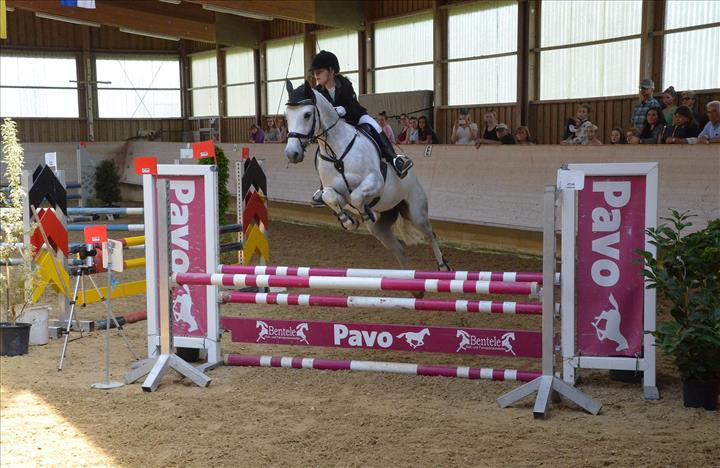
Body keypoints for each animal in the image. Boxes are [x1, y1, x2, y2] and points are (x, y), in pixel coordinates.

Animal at [283, 80, 451, 272]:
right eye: (286, 116)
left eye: (307, 114)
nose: (292, 154)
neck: (337, 152)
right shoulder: (334, 192)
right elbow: (330, 197)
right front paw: (349, 221)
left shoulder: (375, 182)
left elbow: (356, 196)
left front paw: (364, 213)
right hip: (380, 228)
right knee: (400, 250)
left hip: (416, 212)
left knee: (430, 235)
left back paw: (443, 266)